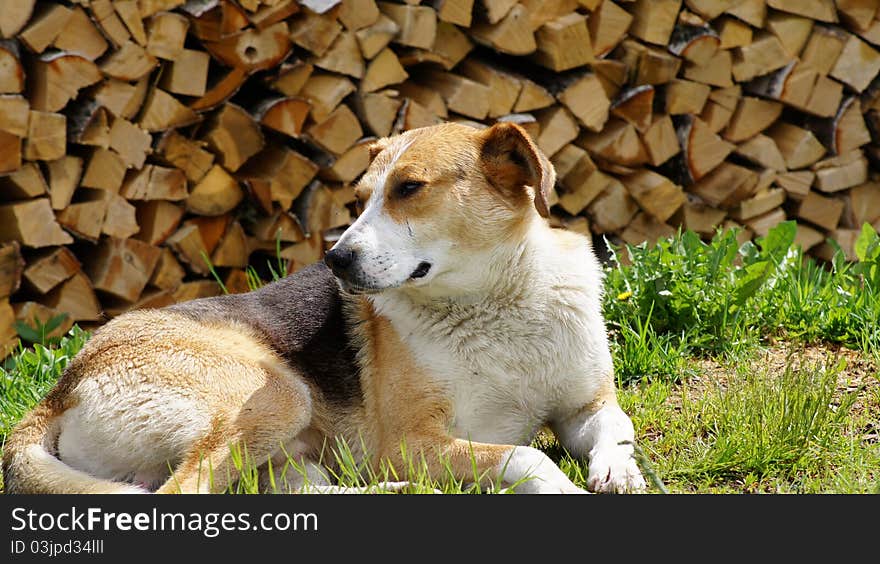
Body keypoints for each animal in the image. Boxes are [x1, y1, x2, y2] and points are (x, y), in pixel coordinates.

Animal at [1, 122, 648, 494]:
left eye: (409, 188)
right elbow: (530, 458)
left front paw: (620, 470)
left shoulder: (584, 406)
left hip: (289, 452)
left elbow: (618, 425)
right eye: (360, 198)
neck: (494, 304)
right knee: (183, 494)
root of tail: (60, 388)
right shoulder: (407, 445)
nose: (335, 260)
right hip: (279, 395)